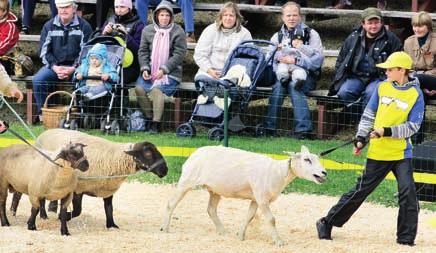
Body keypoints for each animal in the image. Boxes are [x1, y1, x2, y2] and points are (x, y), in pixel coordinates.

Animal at [11, 128, 169, 229]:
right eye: (148, 153)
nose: (165, 170)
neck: (116, 158)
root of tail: (45, 132)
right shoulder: (78, 189)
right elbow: (77, 211)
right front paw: (64, 216)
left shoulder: (107, 189)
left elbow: (109, 208)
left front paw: (111, 225)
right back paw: (30, 213)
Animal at [161, 145, 328, 246]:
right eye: (306, 159)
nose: (324, 173)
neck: (277, 173)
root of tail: (194, 153)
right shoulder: (262, 198)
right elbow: (271, 220)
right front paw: (279, 242)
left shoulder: (255, 199)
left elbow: (249, 217)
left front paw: (240, 236)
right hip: (187, 181)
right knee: (171, 204)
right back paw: (165, 228)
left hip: (215, 189)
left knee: (211, 210)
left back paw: (223, 231)